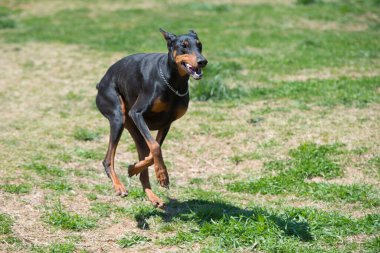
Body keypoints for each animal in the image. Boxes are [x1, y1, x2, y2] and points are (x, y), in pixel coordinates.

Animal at [95, 28, 208, 209]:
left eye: (199, 45)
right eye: (183, 46)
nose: (202, 61)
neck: (173, 82)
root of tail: (100, 82)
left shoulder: (167, 123)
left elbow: (154, 151)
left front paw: (133, 168)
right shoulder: (137, 113)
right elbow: (155, 147)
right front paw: (162, 175)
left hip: (134, 128)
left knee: (143, 161)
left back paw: (153, 196)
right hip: (118, 117)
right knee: (107, 160)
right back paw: (119, 187)